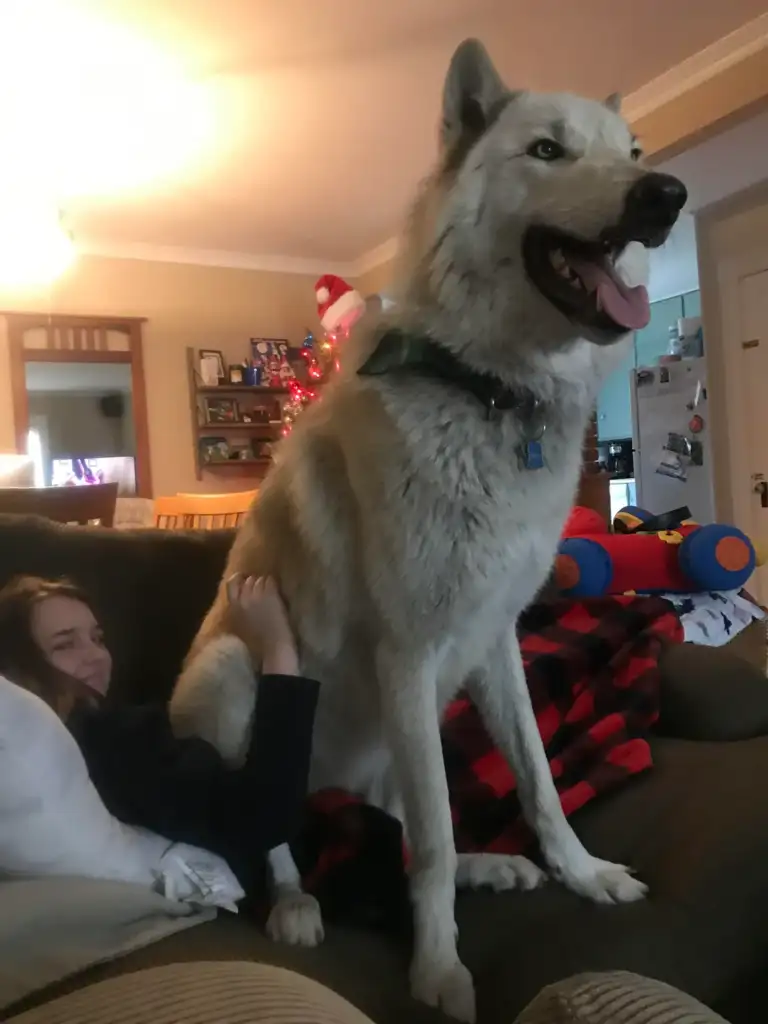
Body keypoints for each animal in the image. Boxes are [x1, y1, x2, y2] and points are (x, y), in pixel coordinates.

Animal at [171, 39, 688, 1024]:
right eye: (548, 151)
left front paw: (583, 875)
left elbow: (535, 785)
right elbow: (436, 841)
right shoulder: (410, 653)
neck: (490, 392)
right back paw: (297, 903)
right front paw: (439, 971)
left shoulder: (493, 643)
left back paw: (491, 867)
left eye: (634, 153)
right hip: (230, 675)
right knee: (275, 832)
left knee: (402, 819)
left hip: (392, 735)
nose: (668, 195)